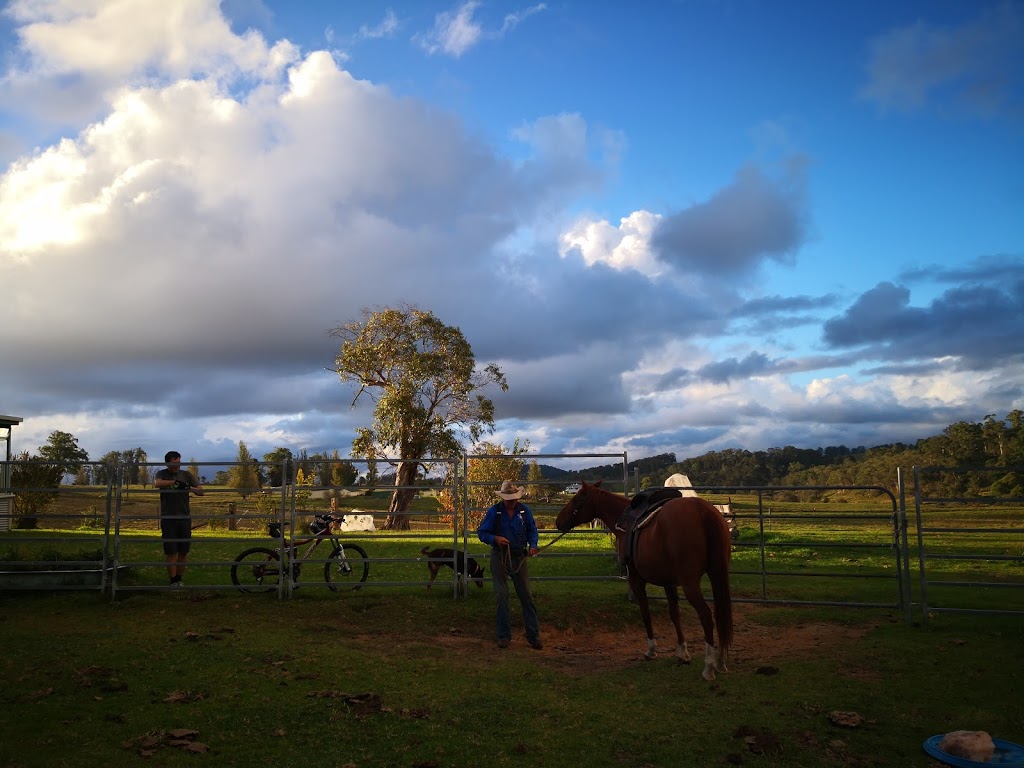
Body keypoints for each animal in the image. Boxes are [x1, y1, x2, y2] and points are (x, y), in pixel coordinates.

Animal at [557, 479, 733, 684]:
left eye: (577, 499)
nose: (558, 521)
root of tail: (704, 512)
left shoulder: (636, 578)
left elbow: (645, 612)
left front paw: (651, 650)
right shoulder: (669, 582)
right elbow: (674, 614)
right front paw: (683, 653)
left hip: (691, 584)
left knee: (706, 616)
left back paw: (709, 667)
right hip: (717, 574)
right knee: (721, 614)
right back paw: (721, 662)